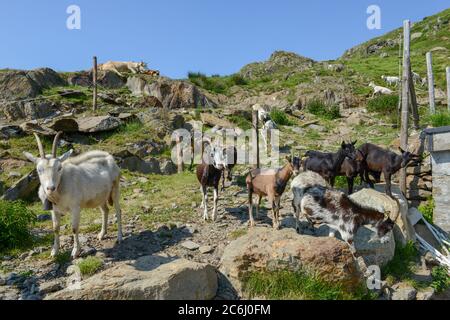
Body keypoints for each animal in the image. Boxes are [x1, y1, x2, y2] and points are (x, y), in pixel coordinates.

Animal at [24, 132, 123, 260]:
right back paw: (101, 234)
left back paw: (119, 237)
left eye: (59, 168)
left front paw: (75, 251)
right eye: (39, 169)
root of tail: (109, 157)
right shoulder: (54, 210)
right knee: (105, 210)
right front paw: (54, 251)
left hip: (115, 189)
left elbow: (74, 228)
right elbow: (55, 228)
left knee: (118, 211)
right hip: (100, 196)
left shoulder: (75, 207)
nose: (50, 188)